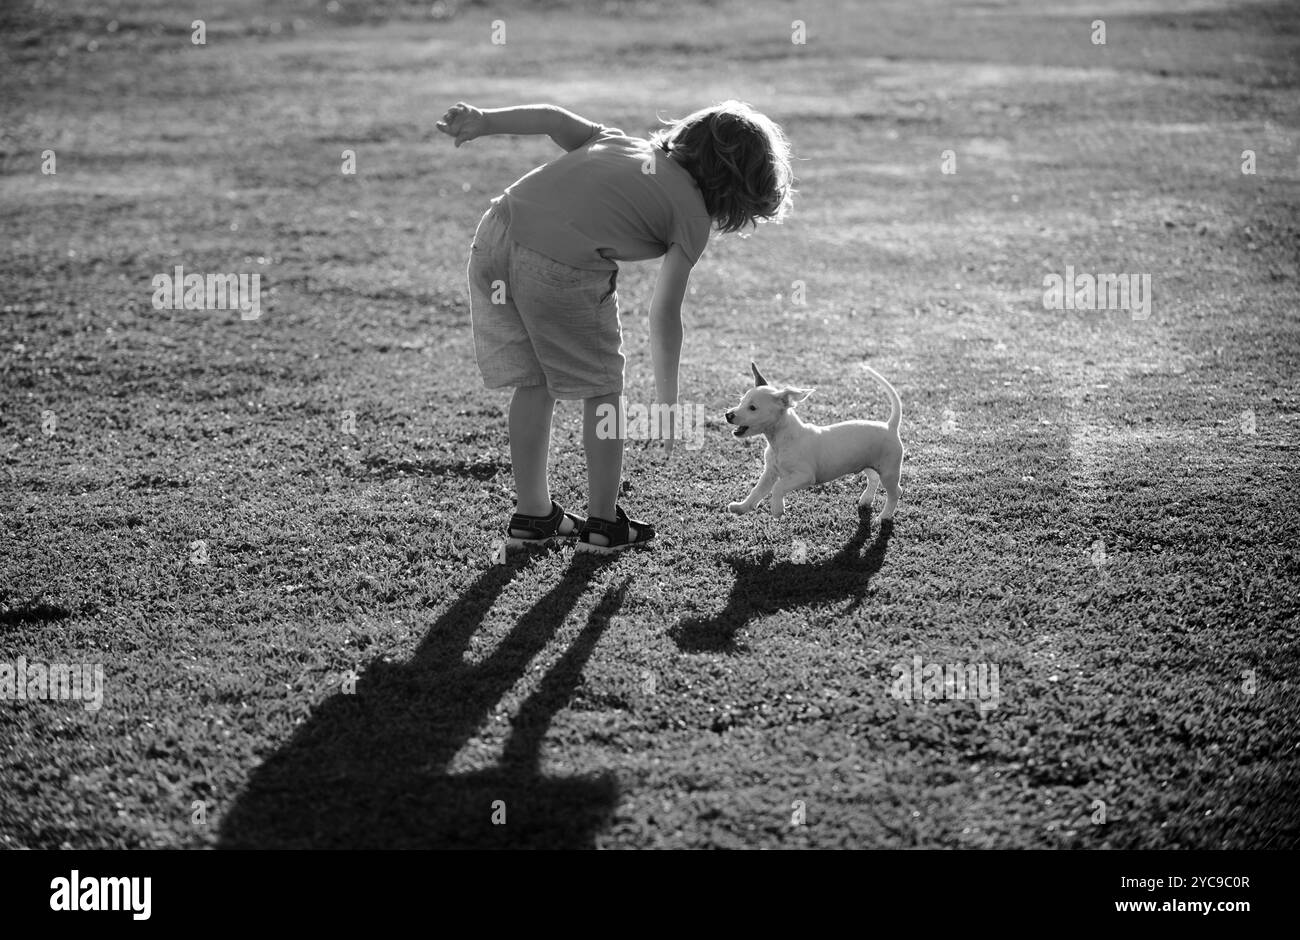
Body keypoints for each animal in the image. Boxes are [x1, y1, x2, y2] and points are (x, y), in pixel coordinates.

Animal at [728, 361, 899, 522]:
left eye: (752, 408)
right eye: (741, 402)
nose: (728, 415)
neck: (780, 442)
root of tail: (890, 426)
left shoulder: (804, 476)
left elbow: (778, 487)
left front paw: (777, 509)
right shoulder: (770, 472)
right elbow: (756, 491)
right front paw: (741, 507)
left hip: (889, 472)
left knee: (896, 493)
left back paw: (883, 516)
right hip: (868, 463)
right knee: (874, 479)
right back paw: (866, 500)